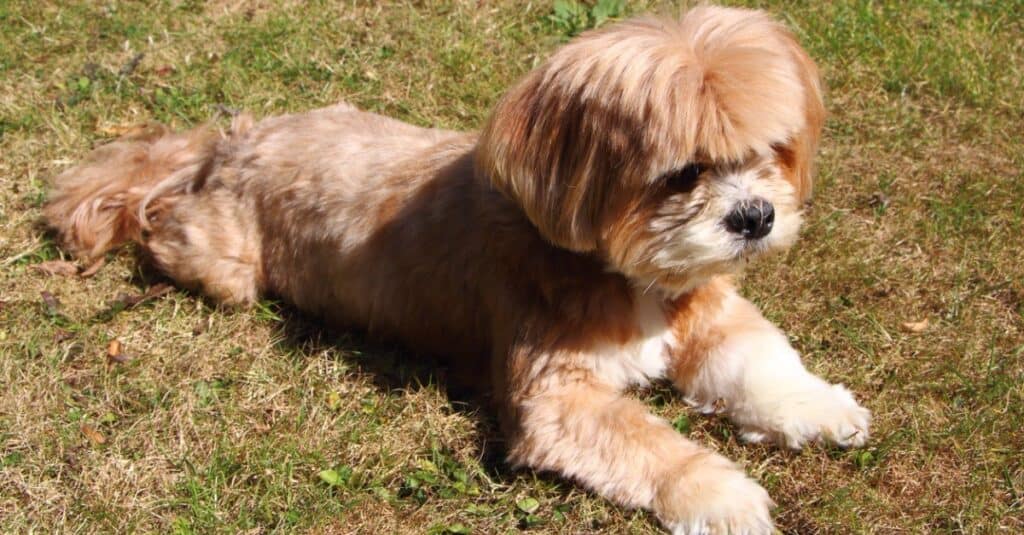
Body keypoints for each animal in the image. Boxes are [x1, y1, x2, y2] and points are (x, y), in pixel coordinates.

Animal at [44, 6, 868, 528]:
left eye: (772, 150)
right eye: (683, 173)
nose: (754, 217)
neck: (625, 275)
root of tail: (234, 141)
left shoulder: (710, 311)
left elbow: (760, 364)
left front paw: (817, 407)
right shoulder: (557, 397)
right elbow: (652, 445)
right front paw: (723, 495)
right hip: (224, 264)